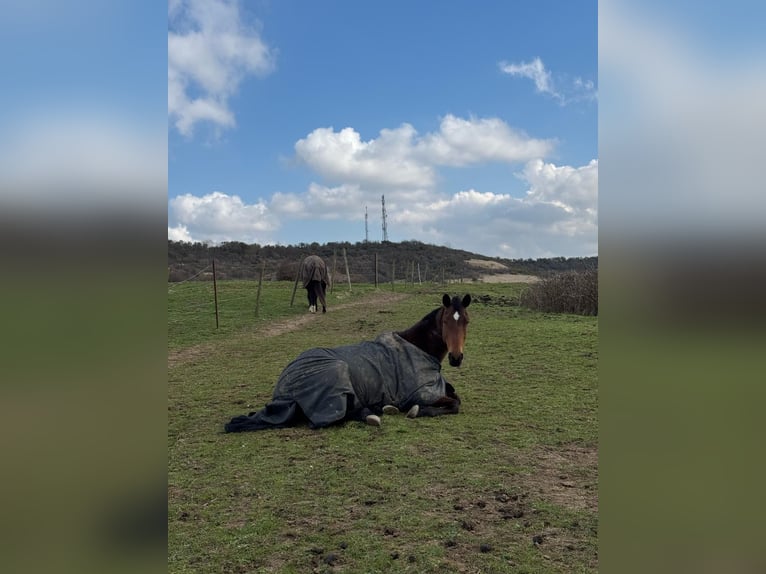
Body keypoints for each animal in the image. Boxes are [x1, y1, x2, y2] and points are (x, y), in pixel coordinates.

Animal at [223, 293, 471, 432]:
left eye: (467, 321)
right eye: (446, 321)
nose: (456, 357)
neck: (417, 347)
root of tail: (284, 385)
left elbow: (455, 396)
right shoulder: (420, 394)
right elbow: (454, 404)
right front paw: (416, 411)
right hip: (337, 376)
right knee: (337, 416)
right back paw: (375, 413)